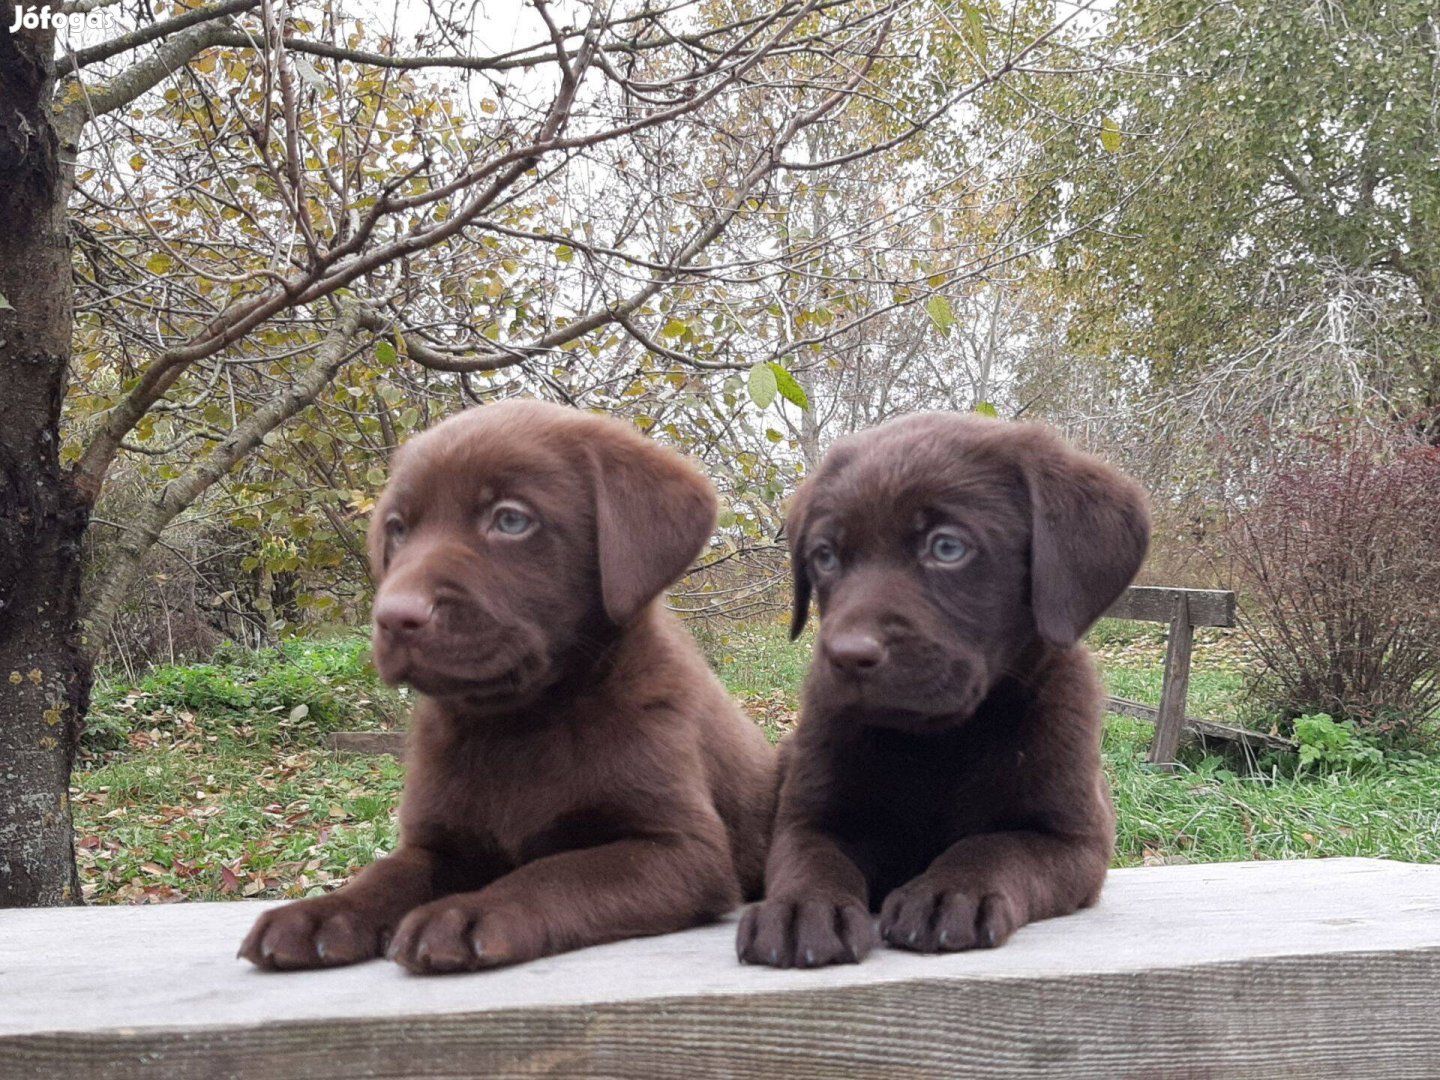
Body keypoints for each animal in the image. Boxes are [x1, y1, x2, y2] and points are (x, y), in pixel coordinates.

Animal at [240, 403, 777, 979]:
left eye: (511, 519)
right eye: (399, 529)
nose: (393, 617)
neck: (516, 722)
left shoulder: (680, 847)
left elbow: (560, 872)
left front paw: (469, 913)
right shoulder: (438, 843)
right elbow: (386, 873)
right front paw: (321, 913)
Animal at [737, 408, 1152, 967]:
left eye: (947, 548)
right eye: (825, 557)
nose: (846, 656)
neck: (937, 741)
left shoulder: (1074, 839)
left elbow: (994, 846)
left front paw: (947, 893)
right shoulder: (811, 817)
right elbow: (810, 858)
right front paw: (802, 908)